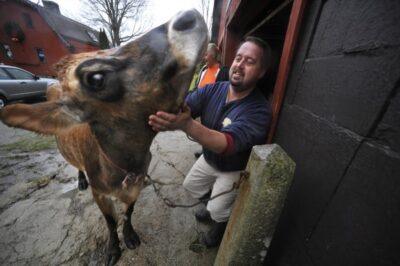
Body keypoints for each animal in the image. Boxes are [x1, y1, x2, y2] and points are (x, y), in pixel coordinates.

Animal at [0, 9, 206, 264]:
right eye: (95, 78)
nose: (187, 16)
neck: (126, 166)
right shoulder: (100, 193)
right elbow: (110, 221)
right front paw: (113, 250)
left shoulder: (136, 185)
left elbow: (128, 213)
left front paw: (130, 236)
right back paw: (80, 180)